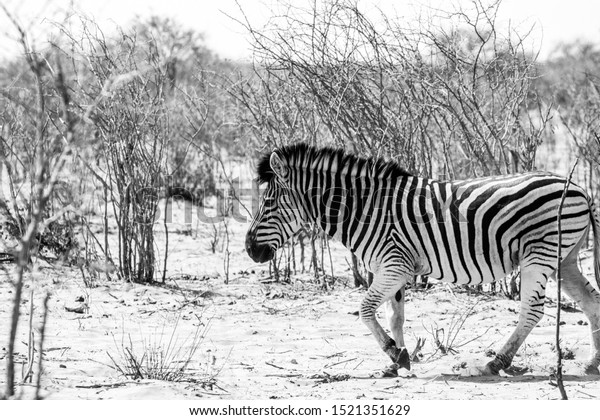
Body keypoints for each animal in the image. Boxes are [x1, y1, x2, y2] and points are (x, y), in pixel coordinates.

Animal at [244, 144, 600, 378]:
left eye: (268, 201)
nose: (249, 249)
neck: (365, 210)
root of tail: (580, 188)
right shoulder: (393, 267)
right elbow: (395, 317)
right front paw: (398, 360)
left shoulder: (393, 264)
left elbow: (365, 310)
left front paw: (394, 353)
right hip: (564, 259)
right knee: (590, 301)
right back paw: (593, 363)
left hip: (539, 254)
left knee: (532, 310)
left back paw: (497, 362)